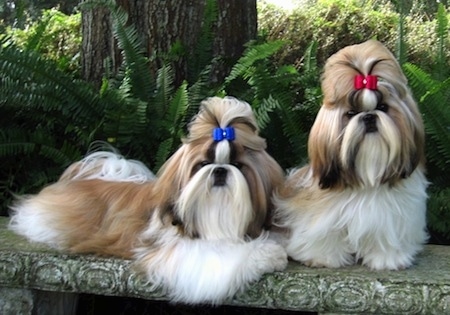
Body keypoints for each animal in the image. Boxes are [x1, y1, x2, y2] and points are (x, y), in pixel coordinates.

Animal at [8, 95, 286, 304]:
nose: (219, 170)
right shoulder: (178, 251)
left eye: (238, 165)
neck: (217, 215)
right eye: (202, 164)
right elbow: (220, 256)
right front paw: (264, 254)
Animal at [274, 40, 428, 272]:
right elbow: (324, 233)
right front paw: (323, 257)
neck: (368, 174)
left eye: (383, 107)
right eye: (351, 113)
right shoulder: (324, 215)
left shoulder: (391, 215)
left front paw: (387, 258)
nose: (369, 117)